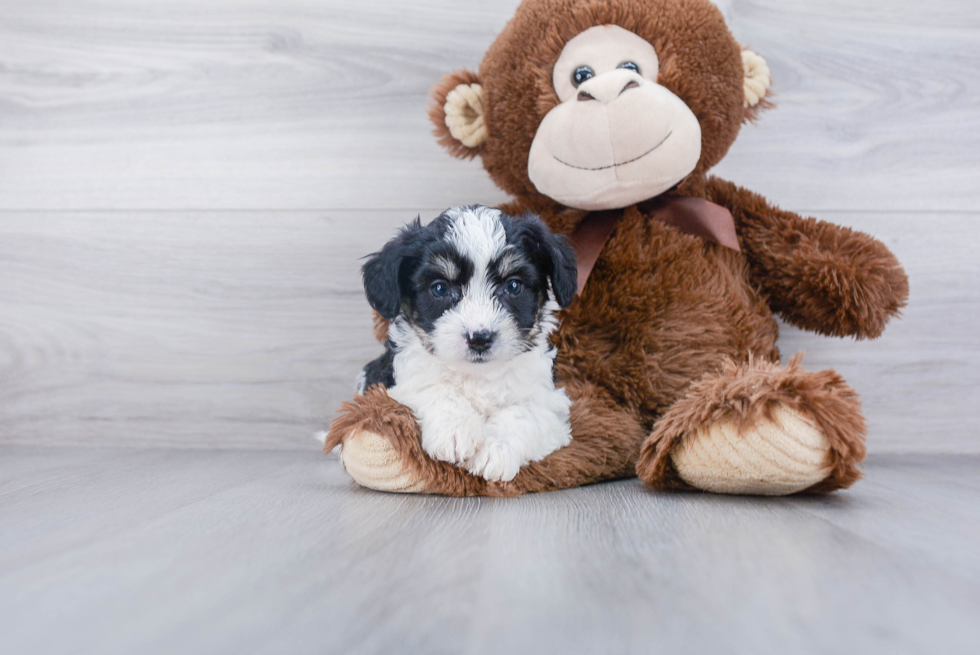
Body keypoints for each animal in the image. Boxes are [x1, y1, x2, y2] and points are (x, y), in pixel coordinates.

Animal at [356, 205, 580, 482]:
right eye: (440, 289)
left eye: (513, 285)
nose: (480, 337)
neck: (477, 374)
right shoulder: (395, 383)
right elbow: (435, 388)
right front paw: (454, 431)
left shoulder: (549, 401)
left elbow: (523, 412)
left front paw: (496, 450)